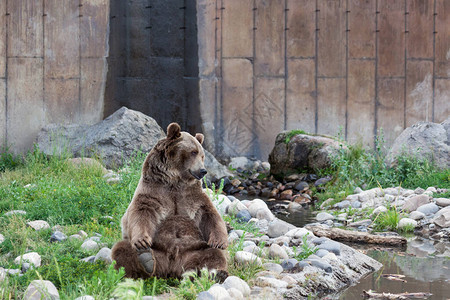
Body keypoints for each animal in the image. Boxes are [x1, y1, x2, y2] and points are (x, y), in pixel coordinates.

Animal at [109, 121, 229, 278]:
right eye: (193, 152)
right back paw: (144, 261)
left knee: (213, 254)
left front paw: (219, 241)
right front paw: (142, 242)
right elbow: (141, 212)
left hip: (194, 250)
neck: (175, 181)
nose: (203, 171)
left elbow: (209, 214)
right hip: (158, 252)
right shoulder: (154, 191)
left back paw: (215, 273)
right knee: (121, 248)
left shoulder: (192, 196)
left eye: (203, 155)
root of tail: (171, 269)